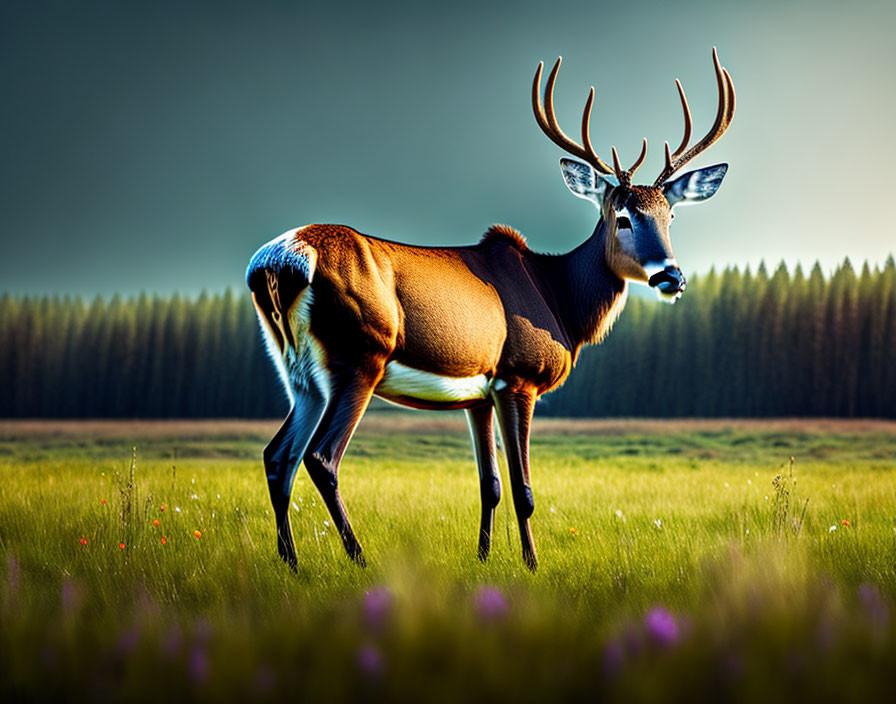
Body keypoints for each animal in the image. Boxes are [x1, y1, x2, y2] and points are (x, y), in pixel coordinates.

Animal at [247, 48, 736, 572]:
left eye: (671, 215)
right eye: (622, 217)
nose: (671, 277)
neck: (558, 300)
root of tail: (280, 260)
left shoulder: (478, 395)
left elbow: (490, 484)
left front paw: (482, 558)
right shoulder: (518, 377)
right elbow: (523, 489)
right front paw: (532, 564)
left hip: (299, 373)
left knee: (277, 456)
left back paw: (291, 563)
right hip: (359, 356)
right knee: (321, 458)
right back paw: (358, 559)